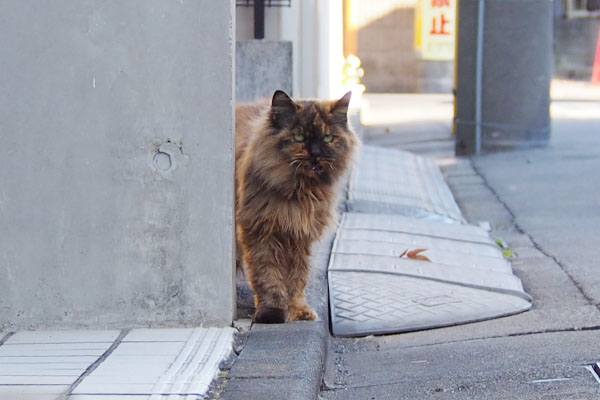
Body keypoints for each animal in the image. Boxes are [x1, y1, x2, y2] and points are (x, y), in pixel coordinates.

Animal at [234, 90, 356, 322]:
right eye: (299, 137)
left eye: (328, 138)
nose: (316, 154)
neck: (300, 192)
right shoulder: (261, 232)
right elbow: (268, 276)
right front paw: (271, 312)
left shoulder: (299, 236)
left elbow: (296, 278)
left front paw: (297, 310)